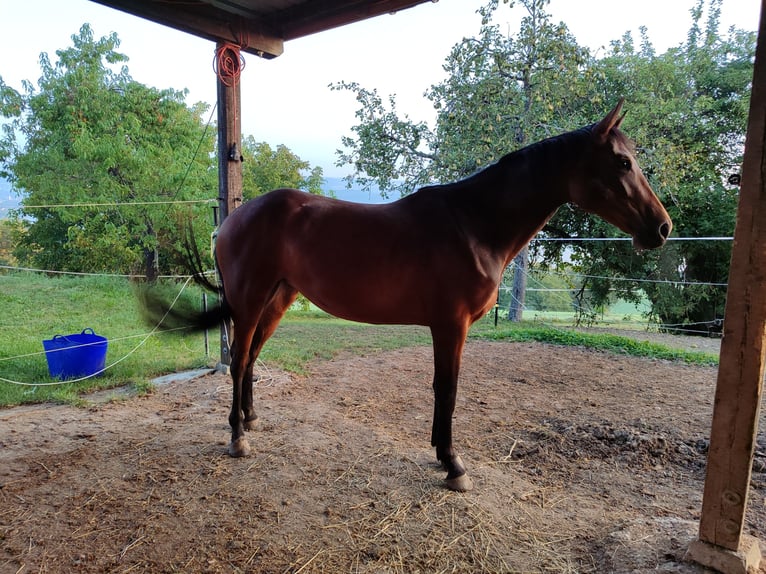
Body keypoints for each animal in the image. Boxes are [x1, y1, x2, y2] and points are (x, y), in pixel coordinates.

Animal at [148, 100, 672, 496]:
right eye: (623, 162)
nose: (662, 227)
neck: (473, 225)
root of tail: (232, 219)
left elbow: (445, 390)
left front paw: (443, 455)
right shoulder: (451, 325)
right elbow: (448, 389)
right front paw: (453, 464)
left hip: (276, 301)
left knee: (252, 358)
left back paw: (251, 420)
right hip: (252, 299)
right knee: (238, 362)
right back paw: (237, 438)